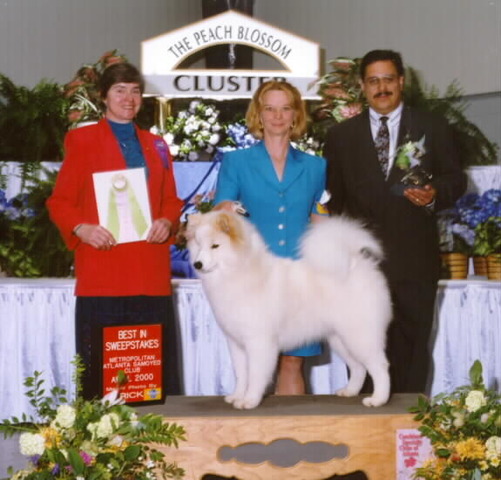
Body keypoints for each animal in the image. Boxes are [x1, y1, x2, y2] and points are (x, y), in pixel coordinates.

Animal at [184, 212, 390, 410]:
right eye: (199, 245)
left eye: (215, 246)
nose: (197, 264)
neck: (240, 272)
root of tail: (354, 263)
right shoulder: (236, 343)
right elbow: (241, 374)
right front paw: (237, 396)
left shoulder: (259, 341)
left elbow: (255, 375)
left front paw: (249, 400)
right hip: (341, 339)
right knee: (358, 367)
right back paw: (350, 391)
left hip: (359, 336)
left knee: (379, 367)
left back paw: (378, 399)